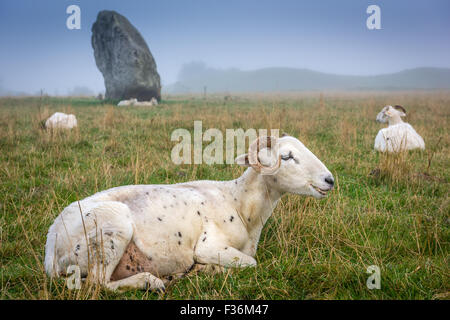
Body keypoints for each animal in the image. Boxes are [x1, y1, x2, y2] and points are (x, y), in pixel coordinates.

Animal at [44, 134, 334, 290]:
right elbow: (251, 263)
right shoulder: (208, 246)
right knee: (97, 283)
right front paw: (207, 270)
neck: (239, 203)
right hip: (111, 230)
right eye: (286, 157)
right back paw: (151, 282)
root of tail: (50, 247)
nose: (330, 180)